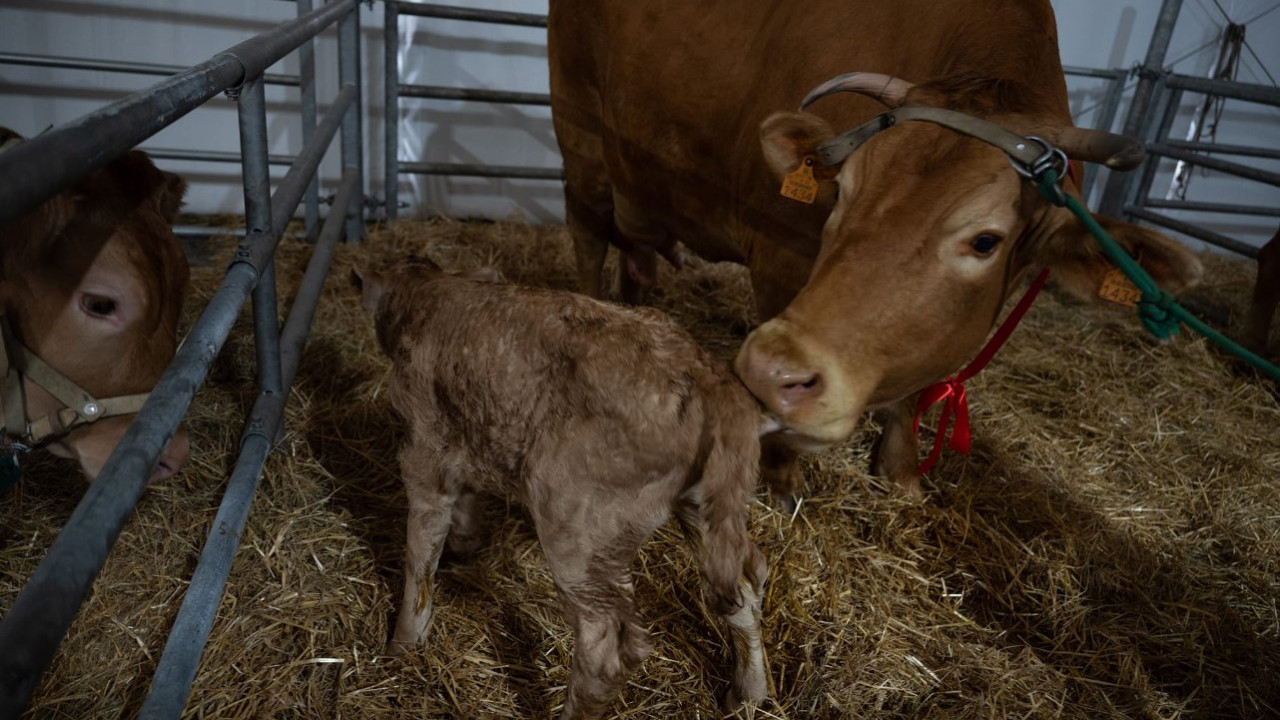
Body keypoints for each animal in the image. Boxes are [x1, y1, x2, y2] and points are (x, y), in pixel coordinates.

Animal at [355, 254, 762, 712]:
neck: (428, 296)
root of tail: (707, 379)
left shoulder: (423, 448)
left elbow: (421, 557)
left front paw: (402, 646)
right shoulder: (471, 432)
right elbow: (466, 497)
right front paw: (466, 542)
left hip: (577, 522)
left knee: (604, 646)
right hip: (705, 510)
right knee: (742, 590)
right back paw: (748, 695)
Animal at [552, 0, 1208, 491]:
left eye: (986, 241)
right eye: (841, 190)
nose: (761, 366)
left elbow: (914, 392)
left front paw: (899, 474)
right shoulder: (778, 258)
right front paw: (783, 475)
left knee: (635, 258)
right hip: (580, 135)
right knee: (587, 240)